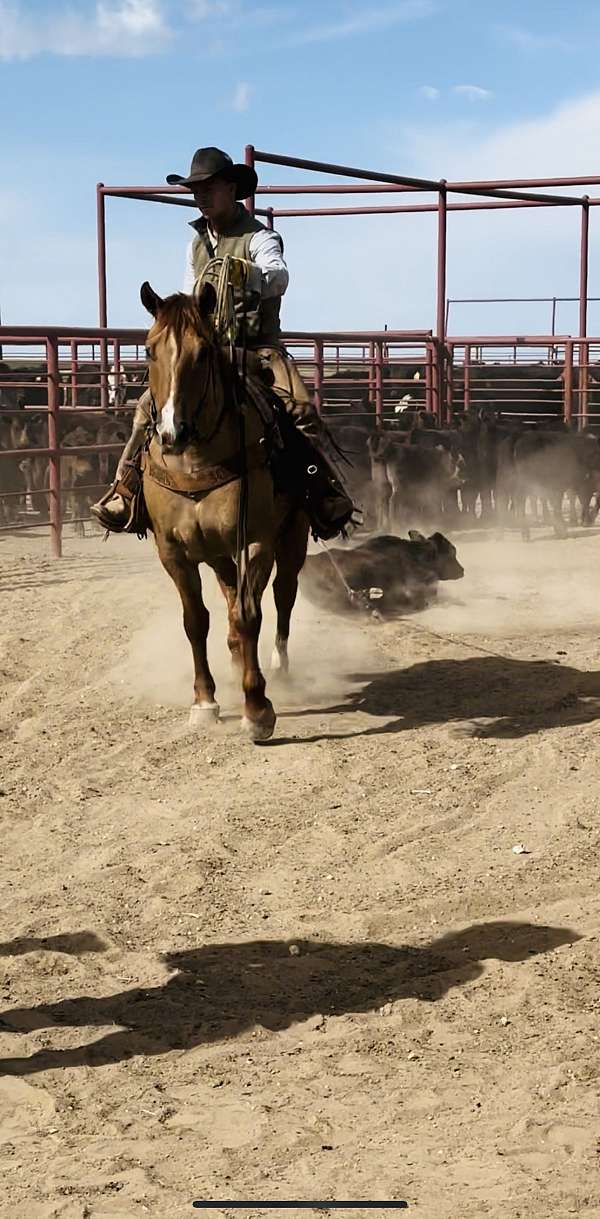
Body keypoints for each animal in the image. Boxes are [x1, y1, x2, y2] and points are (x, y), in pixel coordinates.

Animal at [139, 280, 310, 742]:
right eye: (149, 349)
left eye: (203, 352)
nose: (171, 432)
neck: (194, 460)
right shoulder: (173, 553)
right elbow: (195, 620)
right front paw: (205, 701)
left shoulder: (253, 541)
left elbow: (250, 615)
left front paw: (258, 709)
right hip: (218, 556)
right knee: (232, 604)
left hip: (292, 539)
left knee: (282, 596)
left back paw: (278, 666)